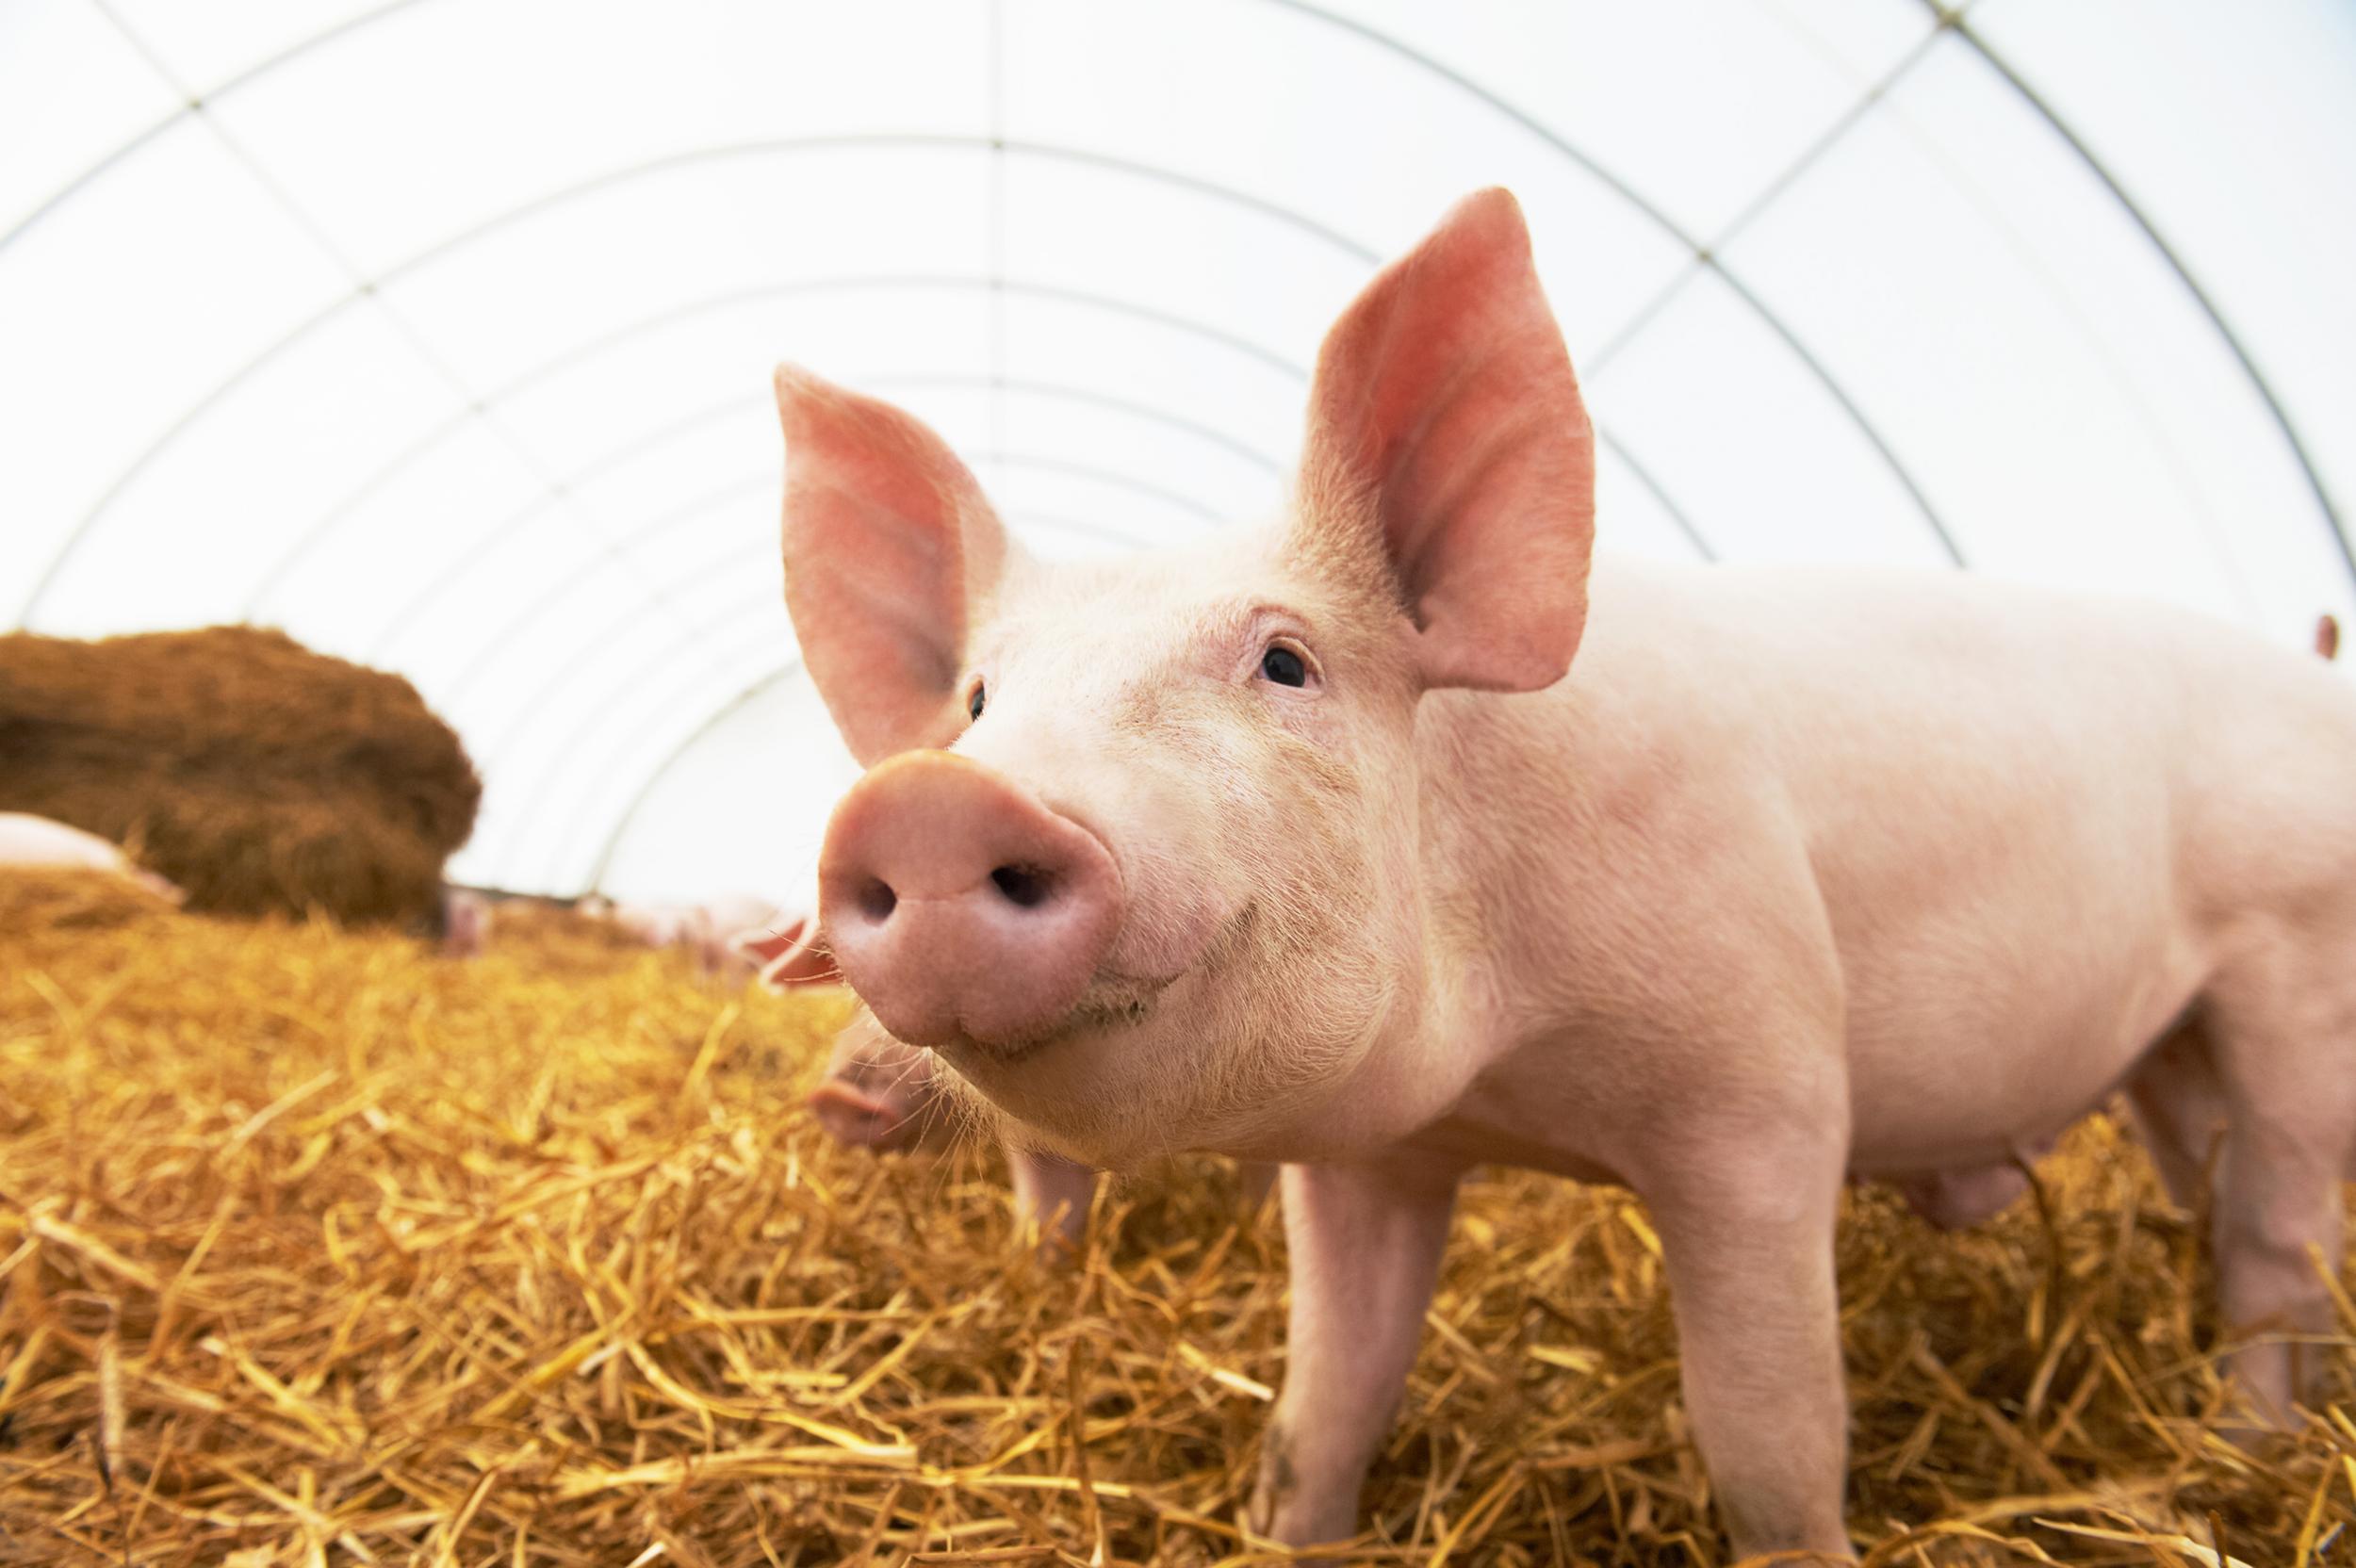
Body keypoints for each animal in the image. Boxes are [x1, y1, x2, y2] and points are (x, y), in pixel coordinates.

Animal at [771, 189, 2356, 1559]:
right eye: (979, 701)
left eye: (1286, 662)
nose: (928, 800)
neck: (1514, 1073)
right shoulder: (1366, 1161)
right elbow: (1324, 1402)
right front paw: (1294, 1527)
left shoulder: (1765, 1090)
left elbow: (1767, 1436)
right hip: (2175, 1044)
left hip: (2297, 970)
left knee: (2277, 1241)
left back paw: (2249, 1451)